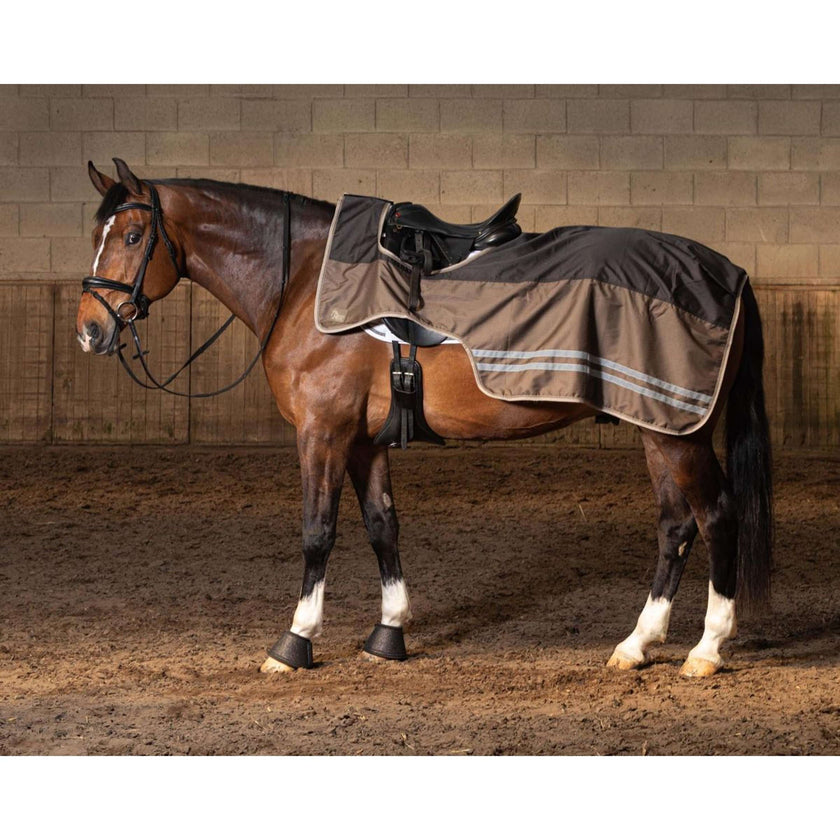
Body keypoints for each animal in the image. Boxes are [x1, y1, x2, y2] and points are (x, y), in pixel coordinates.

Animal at [76, 158, 773, 678]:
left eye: (132, 238)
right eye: (97, 236)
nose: (90, 330)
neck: (303, 281)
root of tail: (730, 273)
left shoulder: (322, 433)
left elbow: (317, 531)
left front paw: (295, 642)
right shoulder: (362, 441)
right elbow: (382, 526)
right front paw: (388, 634)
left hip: (679, 435)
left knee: (716, 516)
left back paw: (706, 649)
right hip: (660, 430)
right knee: (674, 526)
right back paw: (637, 644)